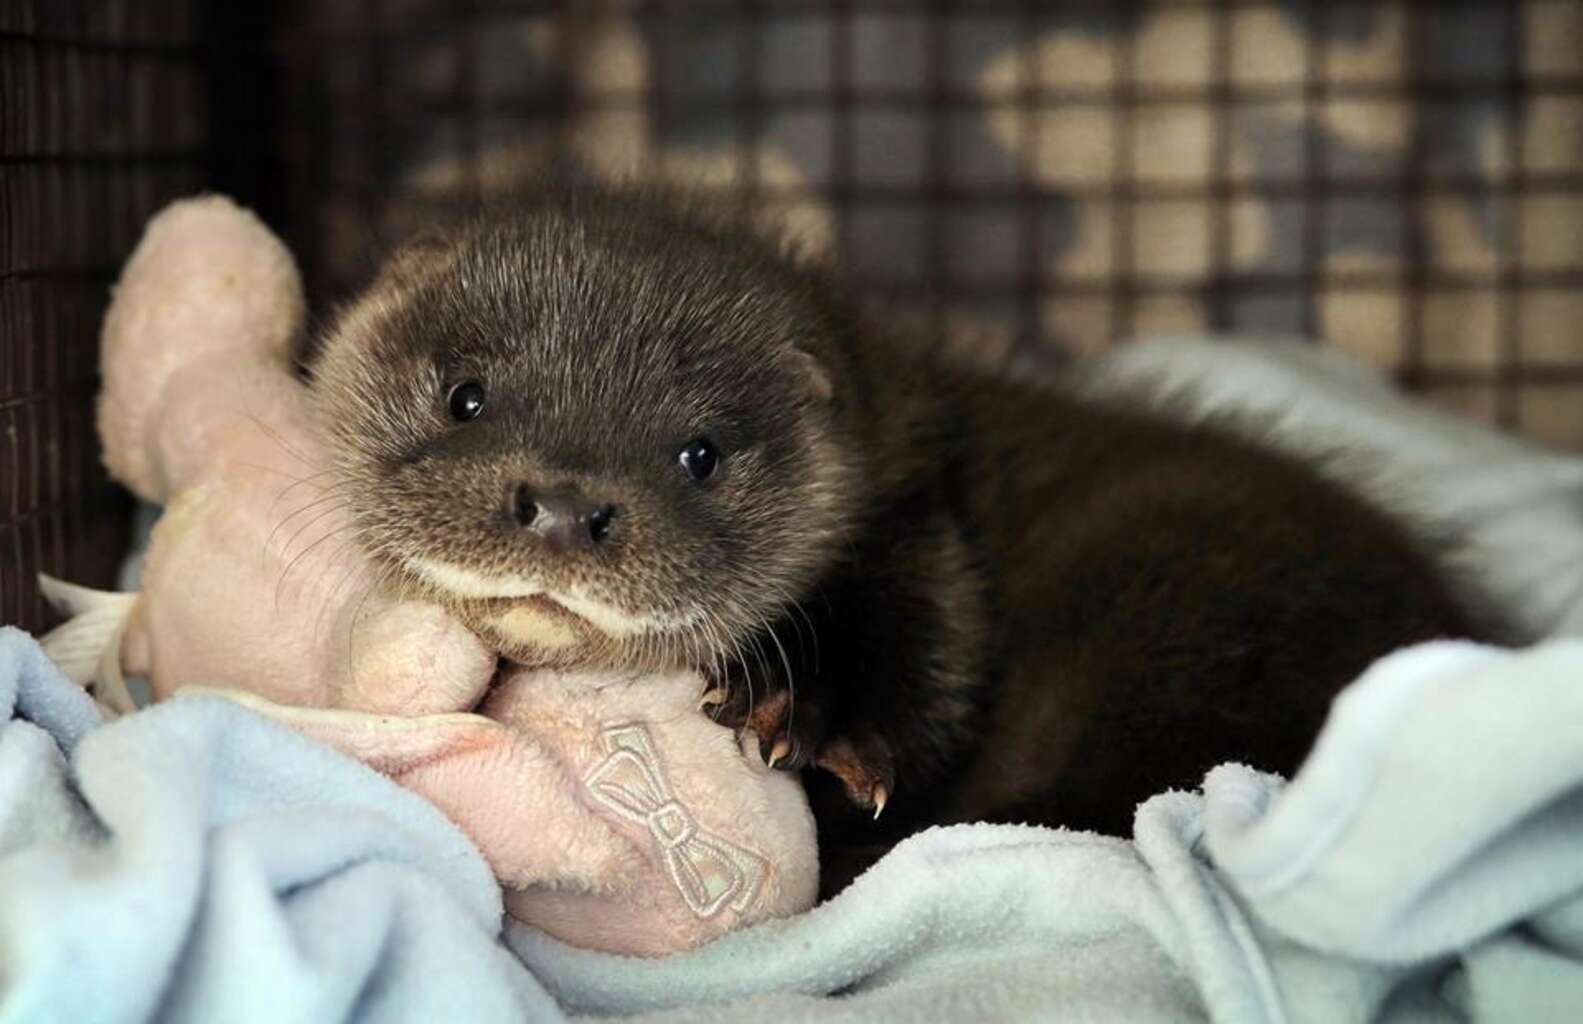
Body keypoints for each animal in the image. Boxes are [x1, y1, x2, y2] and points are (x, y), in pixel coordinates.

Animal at [305, 185, 1481, 898]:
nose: (561, 504)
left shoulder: (916, 516)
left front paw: (815, 722)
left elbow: (930, 647)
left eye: (698, 454)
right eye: (466, 395)